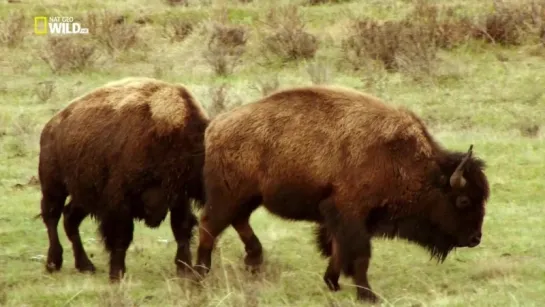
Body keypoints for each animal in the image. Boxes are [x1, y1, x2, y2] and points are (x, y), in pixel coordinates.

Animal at [37, 76, 208, 282]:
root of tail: (50, 127)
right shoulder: (120, 201)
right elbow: (121, 236)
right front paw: (117, 274)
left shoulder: (178, 197)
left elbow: (182, 230)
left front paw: (185, 269)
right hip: (54, 187)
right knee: (51, 218)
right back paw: (54, 262)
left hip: (85, 195)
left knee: (70, 218)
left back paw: (85, 265)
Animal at [191, 86, 488, 304]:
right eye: (463, 200)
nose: (475, 239)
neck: (399, 157)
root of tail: (215, 126)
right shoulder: (350, 212)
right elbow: (358, 254)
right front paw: (368, 295)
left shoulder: (341, 215)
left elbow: (338, 248)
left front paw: (332, 282)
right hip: (228, 195)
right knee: (209, 226)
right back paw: (200, 275)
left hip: (248, 197)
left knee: (236, 221)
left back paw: (252, 259)